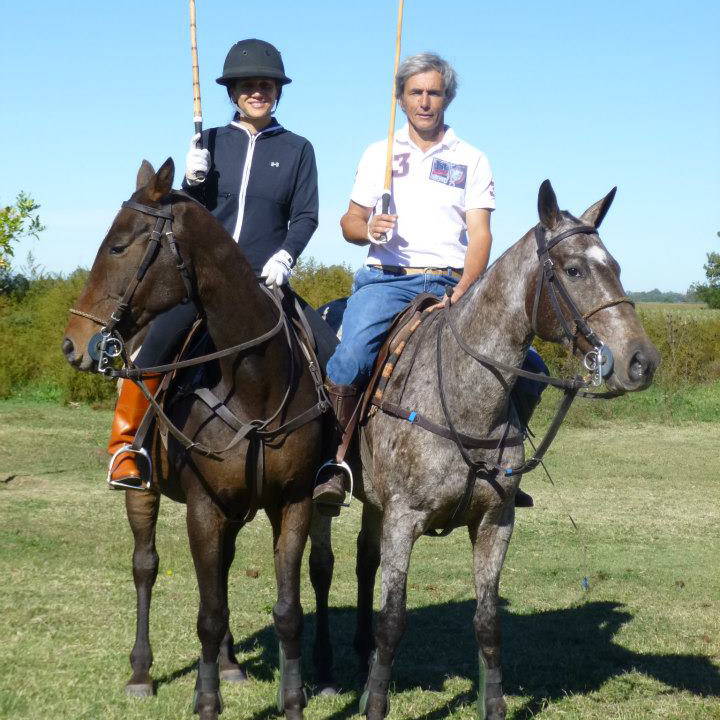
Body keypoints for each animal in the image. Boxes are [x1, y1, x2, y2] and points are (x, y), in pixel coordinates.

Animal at [62, 162, 338, 720]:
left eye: (118, 246)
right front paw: (206, 700)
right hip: (144, 495)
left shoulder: (292, 503)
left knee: (223, 572)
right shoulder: (203, 507)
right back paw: (142, 672)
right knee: (145, 566)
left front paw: (292, 701)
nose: (73, 344)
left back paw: (230, 664)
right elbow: (206, 614)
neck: (254, 383)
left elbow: (287, 611)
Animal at [348, 180, 660, 720]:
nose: (642, 361)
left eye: (617, 267)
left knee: (367, 561)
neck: (464, 396)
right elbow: (394, 619)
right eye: (574, 270)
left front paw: (492, 703)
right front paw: (377, 703)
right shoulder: (404, 518)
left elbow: (488, 623)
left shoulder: (496, 520)